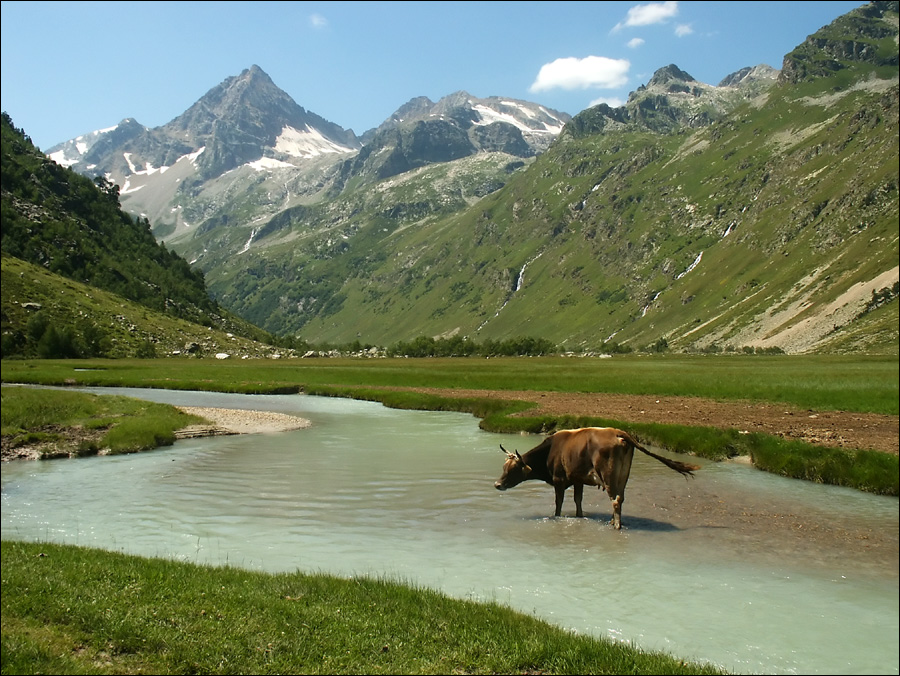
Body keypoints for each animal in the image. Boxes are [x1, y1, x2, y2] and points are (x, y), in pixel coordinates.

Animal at [496, 426, 700, 532]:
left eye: (512, 469)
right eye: (503, 467)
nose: (497, 484)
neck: (551, 451)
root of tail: (618, 432)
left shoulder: (559, 480)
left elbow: (559, 503)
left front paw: (556, 517)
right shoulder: (577, 480)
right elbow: (578, 500)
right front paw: (579, 517)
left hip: (608, 476)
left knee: (615, 500)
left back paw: (616, 526)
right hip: (623, 476)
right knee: (620, 498)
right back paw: (613, 521)